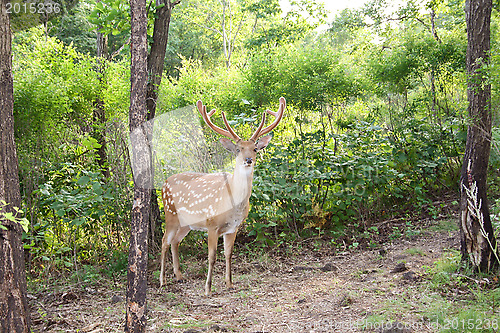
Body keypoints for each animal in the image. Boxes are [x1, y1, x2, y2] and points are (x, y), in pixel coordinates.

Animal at [160, 96, 286, 294]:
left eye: (255, 148)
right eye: (238, 149)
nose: (248, 160)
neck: (233, 204)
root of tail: (164, 183)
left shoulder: (233, 228)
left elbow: (228, 254)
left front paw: (229, 283)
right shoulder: (211, 225)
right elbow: (211, 256)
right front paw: (207, 289)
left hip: (187, 223)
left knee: (175, 242)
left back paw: (179, 276)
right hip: (170, 215)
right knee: (164, 241)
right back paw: (163, 281)